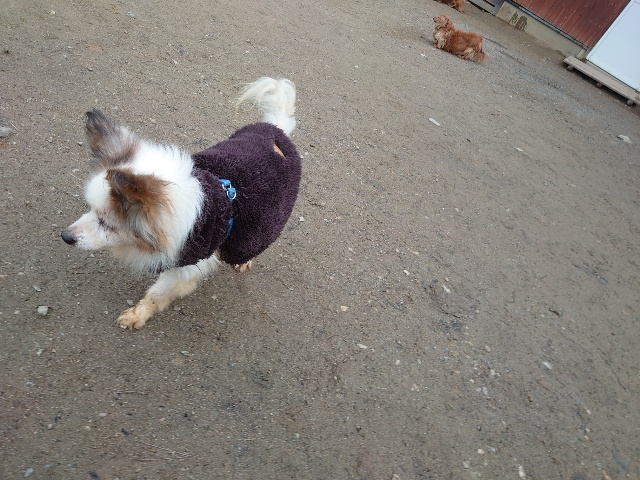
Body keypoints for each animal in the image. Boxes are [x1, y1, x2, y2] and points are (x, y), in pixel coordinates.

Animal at [61, 77, 302, 329]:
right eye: (89, 209)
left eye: (105, 223)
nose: (65, 236)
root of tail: (276, 130)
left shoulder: (185, 267)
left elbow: (157, 295)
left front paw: (137, 315)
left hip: (259, 224)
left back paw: (244, 261)